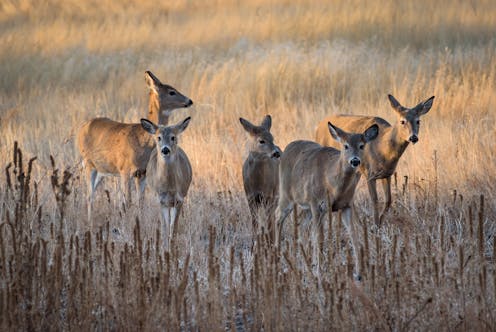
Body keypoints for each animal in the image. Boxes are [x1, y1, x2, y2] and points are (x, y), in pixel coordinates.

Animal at [77, 70, 194, 222]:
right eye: (171, 92)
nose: (189, 101)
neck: (143, 140)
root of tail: (81, 128)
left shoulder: (142, 173)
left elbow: (140, 201)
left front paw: (140, 221)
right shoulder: (124, 170)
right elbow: (127, 202)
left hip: (101, 169)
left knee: (91, 193)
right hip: (88, 163)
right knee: (89, 195)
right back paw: (90, 222)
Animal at [140, 116, 193, 249]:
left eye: (173, 137)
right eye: (159, 137)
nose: (165, 149)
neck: (170, 187)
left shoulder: (179, 200)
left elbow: (173, 229)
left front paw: (172, 249)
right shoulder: (160, 200)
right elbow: (164, 228)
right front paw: (165, 249)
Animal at [276, 121, 380, 278]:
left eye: (362, 145)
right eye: (345, 145)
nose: (355, 161)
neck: (332, 184)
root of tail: (287, 147)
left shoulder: (346, 205)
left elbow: (354, 236)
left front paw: (359, 273)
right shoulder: (316, 203)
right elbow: (319, 237)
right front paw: (319, 272)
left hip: (307, 207)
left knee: (301, 224)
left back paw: (305, 265)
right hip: (286, 194)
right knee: (278, 216)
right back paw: (275, 255)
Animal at [314, 94, 434, 227]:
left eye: (418, 121)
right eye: (402, 121)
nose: (413, 137)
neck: (383, 149)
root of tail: (318, 126)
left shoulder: (387, 174)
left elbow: (388, 200)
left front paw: (380, 223)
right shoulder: (369, 173)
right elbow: (374, 200)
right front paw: (375, 225)